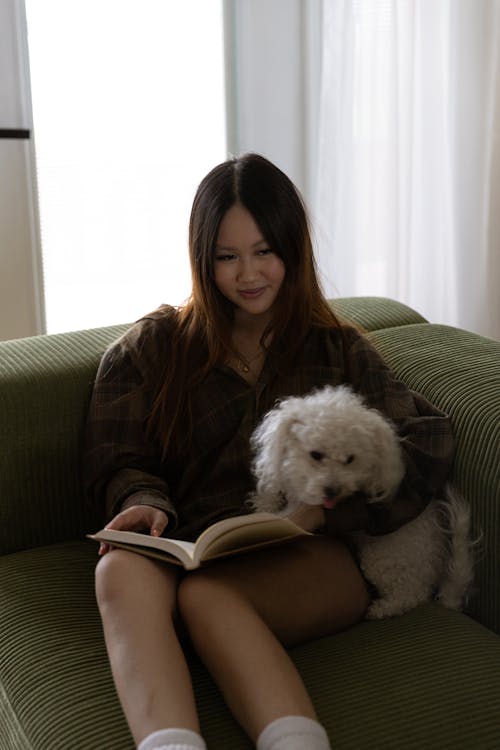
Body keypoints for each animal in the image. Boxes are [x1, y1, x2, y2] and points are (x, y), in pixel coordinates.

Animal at [250, 384, 472, 620]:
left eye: (350, 459)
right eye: (316, 454)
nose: (332, 490)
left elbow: (286, 514)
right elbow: (273, 490)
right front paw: (263, 504)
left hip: (384, 559)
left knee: (411, 595)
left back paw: (381, 609)